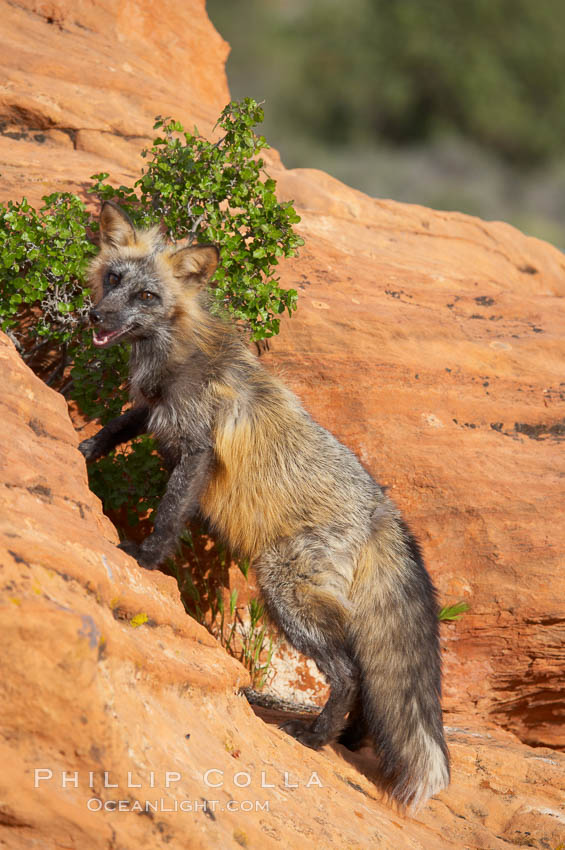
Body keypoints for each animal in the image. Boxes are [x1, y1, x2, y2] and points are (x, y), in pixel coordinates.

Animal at [78, 200, 450, 808]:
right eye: (113, 279)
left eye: (147, 296)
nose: (96, 317)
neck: (178, 355)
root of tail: (385, 511)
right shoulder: (153, 412)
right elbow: (111, 432)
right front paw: (79, 451)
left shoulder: (198, 450)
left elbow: (169, 515)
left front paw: (144, 559)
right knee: (368, 679)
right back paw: (348, 739)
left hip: (282, 589)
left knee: (349, 674)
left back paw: (316, 738)